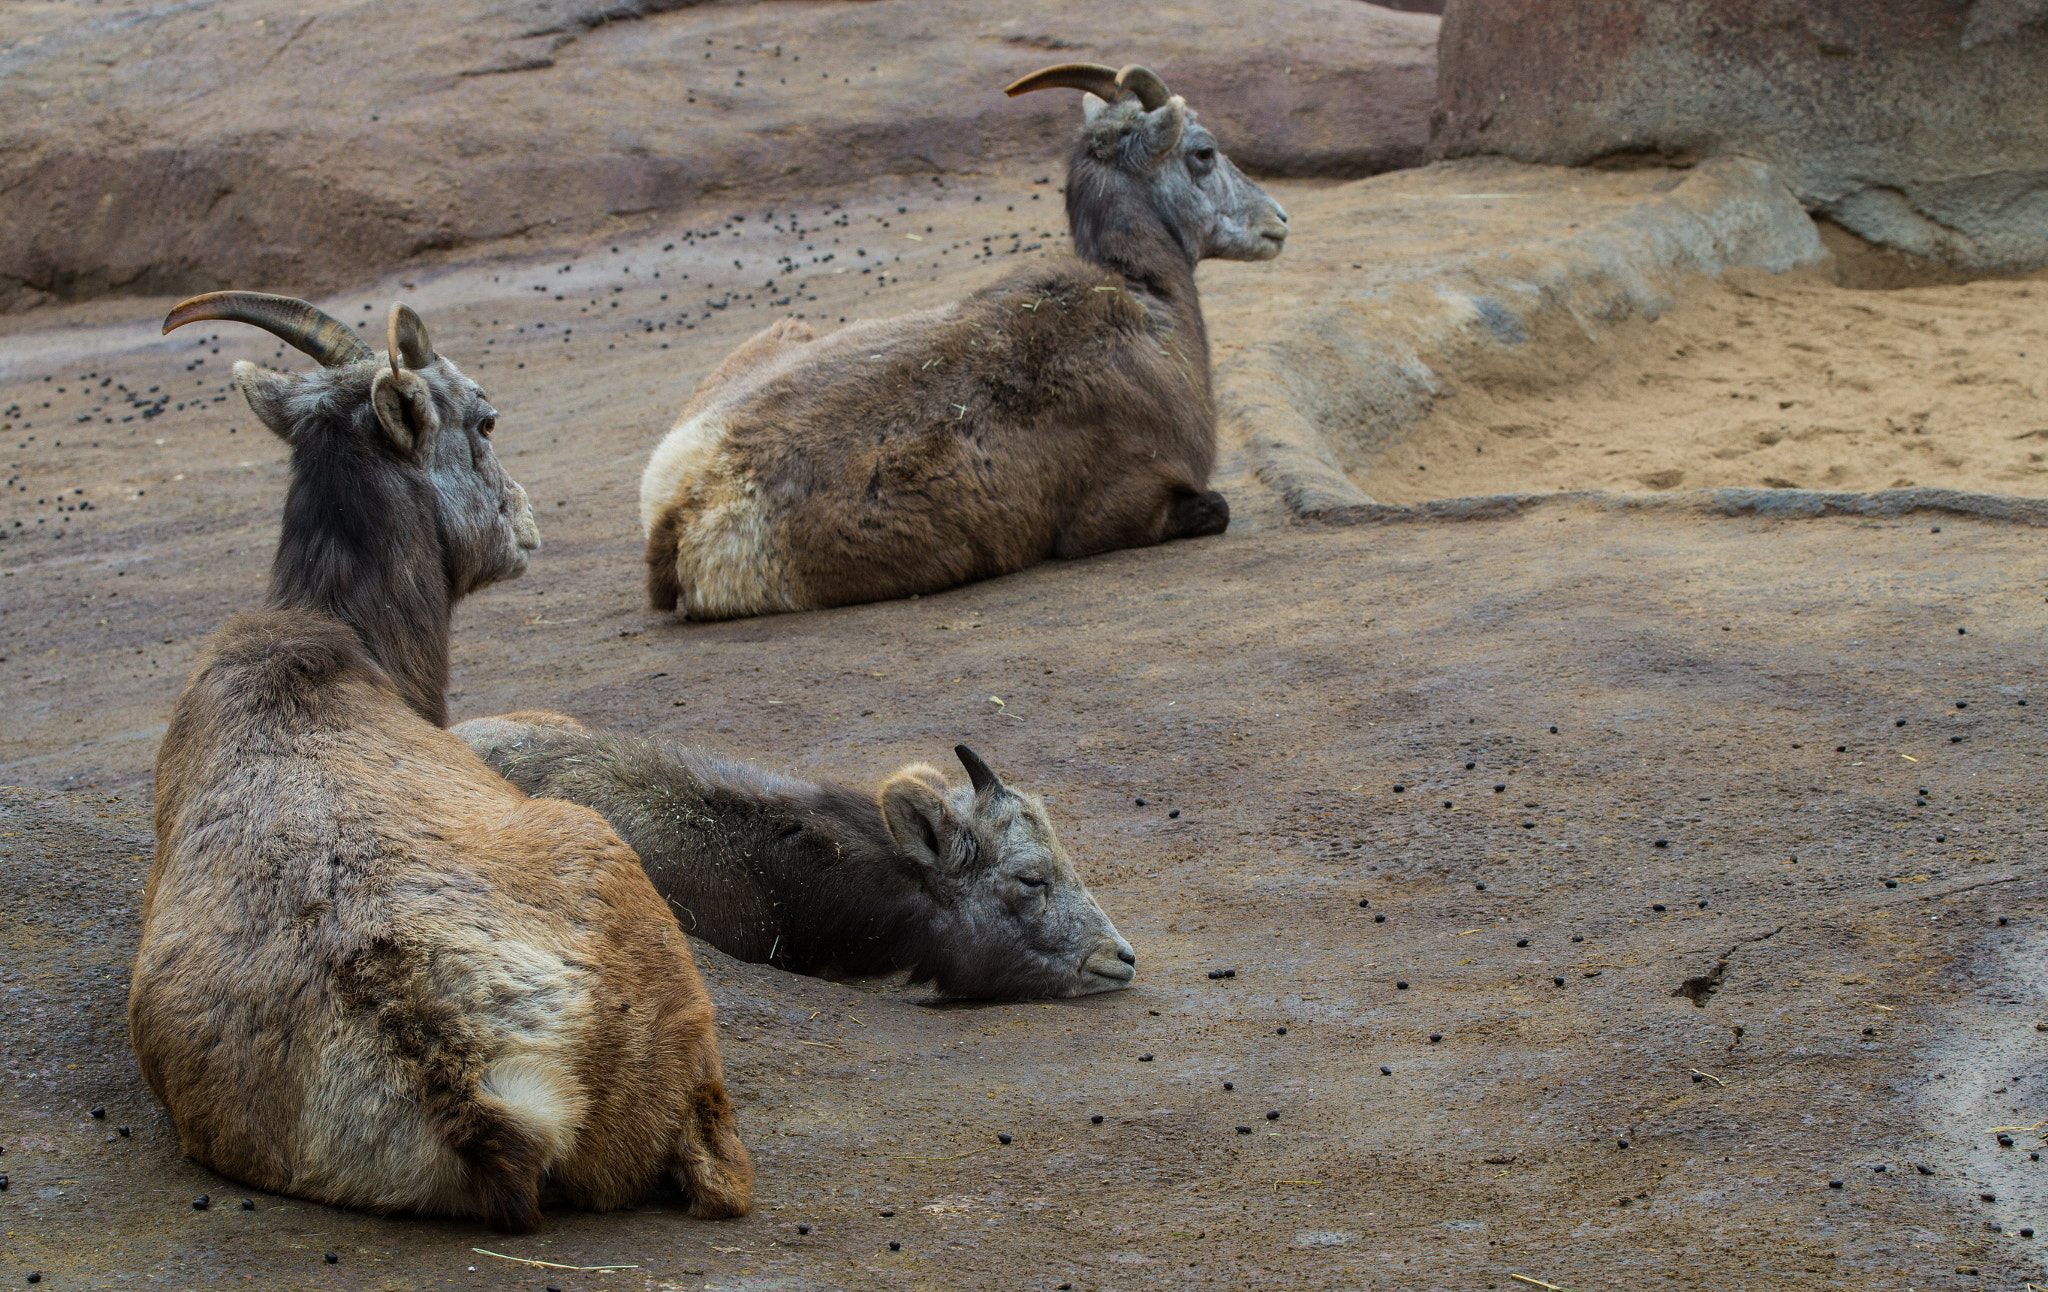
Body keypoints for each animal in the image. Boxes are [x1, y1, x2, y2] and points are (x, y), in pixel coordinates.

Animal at [638, 63, 1286, 618]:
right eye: (1203, 153)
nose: (1279, 221)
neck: (1150, 315)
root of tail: (678, 503)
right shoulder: (1124, 508)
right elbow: (1214, 509)